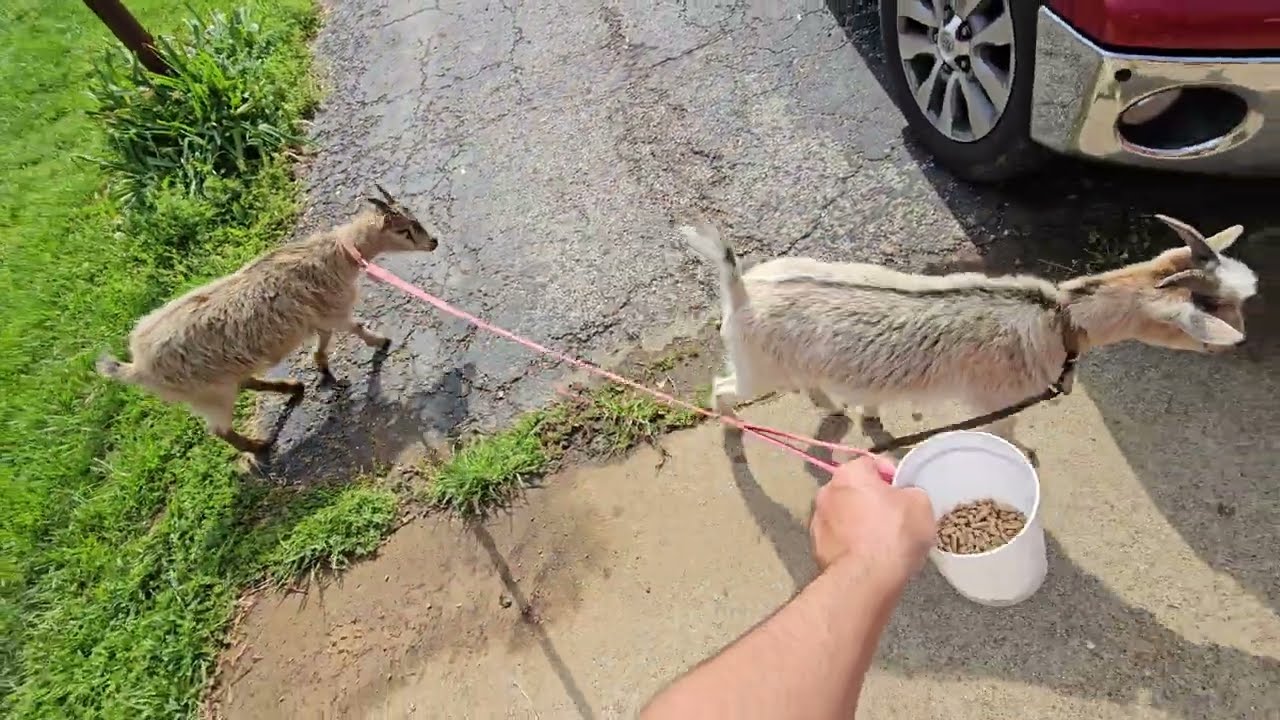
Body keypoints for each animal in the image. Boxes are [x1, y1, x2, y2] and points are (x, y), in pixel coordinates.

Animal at [97, 183, 440, 454]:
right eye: (403, 230)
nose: (433, 242)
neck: (339, 254)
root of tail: (137, 367)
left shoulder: (319, 316)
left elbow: (324, 340)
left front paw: (322, 366)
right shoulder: (334, 309)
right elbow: (354, 327)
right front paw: (381, 341)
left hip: (220, 380)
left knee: (247, 381)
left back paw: (292, 388)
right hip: (209, 393)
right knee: (220, 429)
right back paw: (260, 446)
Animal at [680, 214, 1257, 449]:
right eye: (1219, 313)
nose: (1245, 343)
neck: (1061, 320)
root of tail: (741, 290)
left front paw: (869, 414)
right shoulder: (999, 401)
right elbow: (1006, 436)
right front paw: (1024, 458)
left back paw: (834, 406)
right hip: (756, 367)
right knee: (725, 387)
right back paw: (732, 424)